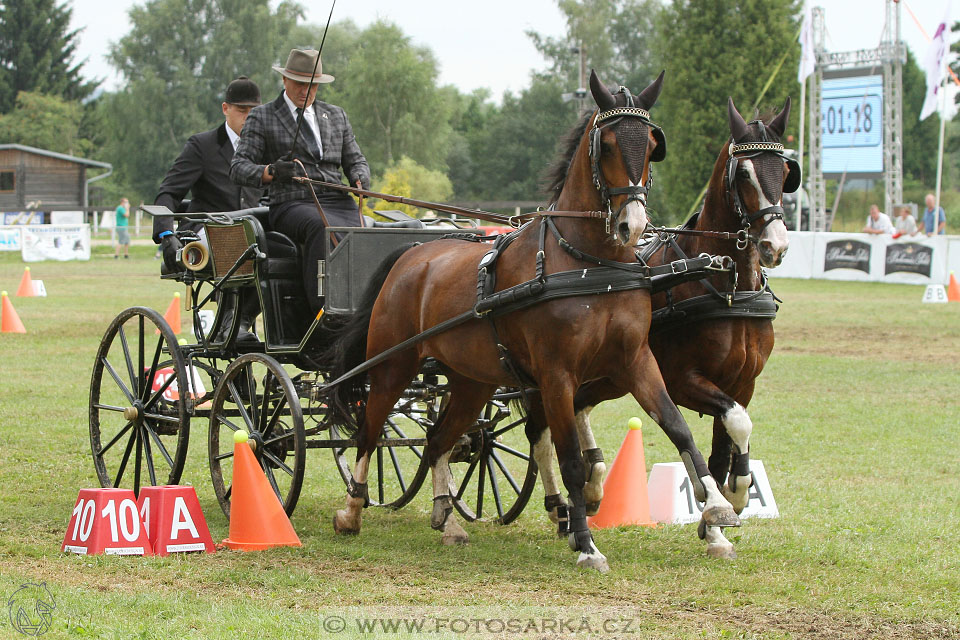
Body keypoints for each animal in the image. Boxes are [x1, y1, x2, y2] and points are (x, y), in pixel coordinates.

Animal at [326, 71, 740, 576]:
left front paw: (717, 509)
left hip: (472, 381)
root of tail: (413, 253)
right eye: (606, 145)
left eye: (652, 143)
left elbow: (678, 428)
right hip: (393, 366)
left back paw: (448, 520)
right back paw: (352, 510)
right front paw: (586, 544)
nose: (633, 226)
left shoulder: (636, 362)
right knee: (370, 430)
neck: (589, 264)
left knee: (439, 438)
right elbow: (572, 461)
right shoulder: (556, 375)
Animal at [528, 96, 800, 560]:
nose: (775, 245)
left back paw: (593, 482)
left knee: (577, 407)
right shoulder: (681, 379)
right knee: (540, 428)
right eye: (743, 173)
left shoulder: (742, 382)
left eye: (784, 172)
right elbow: (736, 422)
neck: (727, 284)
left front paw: (719, 522)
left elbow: (729, 439)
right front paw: (736, 497)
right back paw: (561, 509)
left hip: (610, 375)